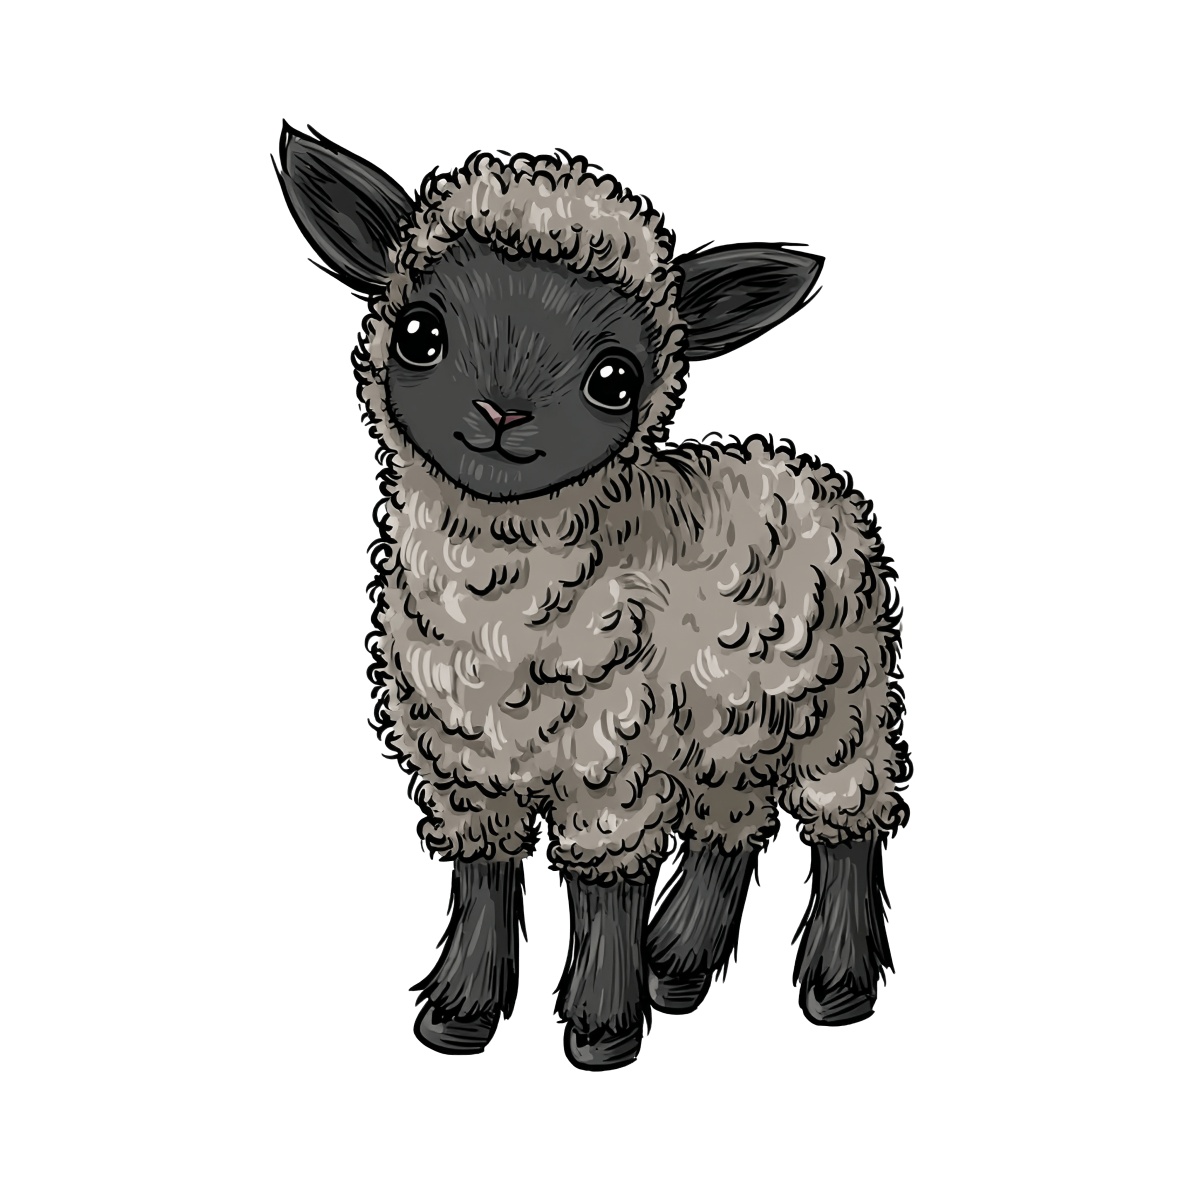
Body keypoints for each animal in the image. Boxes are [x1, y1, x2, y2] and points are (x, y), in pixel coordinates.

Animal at [276, 123, 912, 1071]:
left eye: (614, 379)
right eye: (420, 332)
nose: (502, 413)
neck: (500, 606)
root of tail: (799, 465)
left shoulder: (609, 758)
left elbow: (603, 889)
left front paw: (602, 1028)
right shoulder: (467, 765)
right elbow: (482, 879)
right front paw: (460, 1015)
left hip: (843, 705)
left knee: (848, 825)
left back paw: (836, 985)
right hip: (731, 726)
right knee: (730, 827)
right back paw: (679, 966)